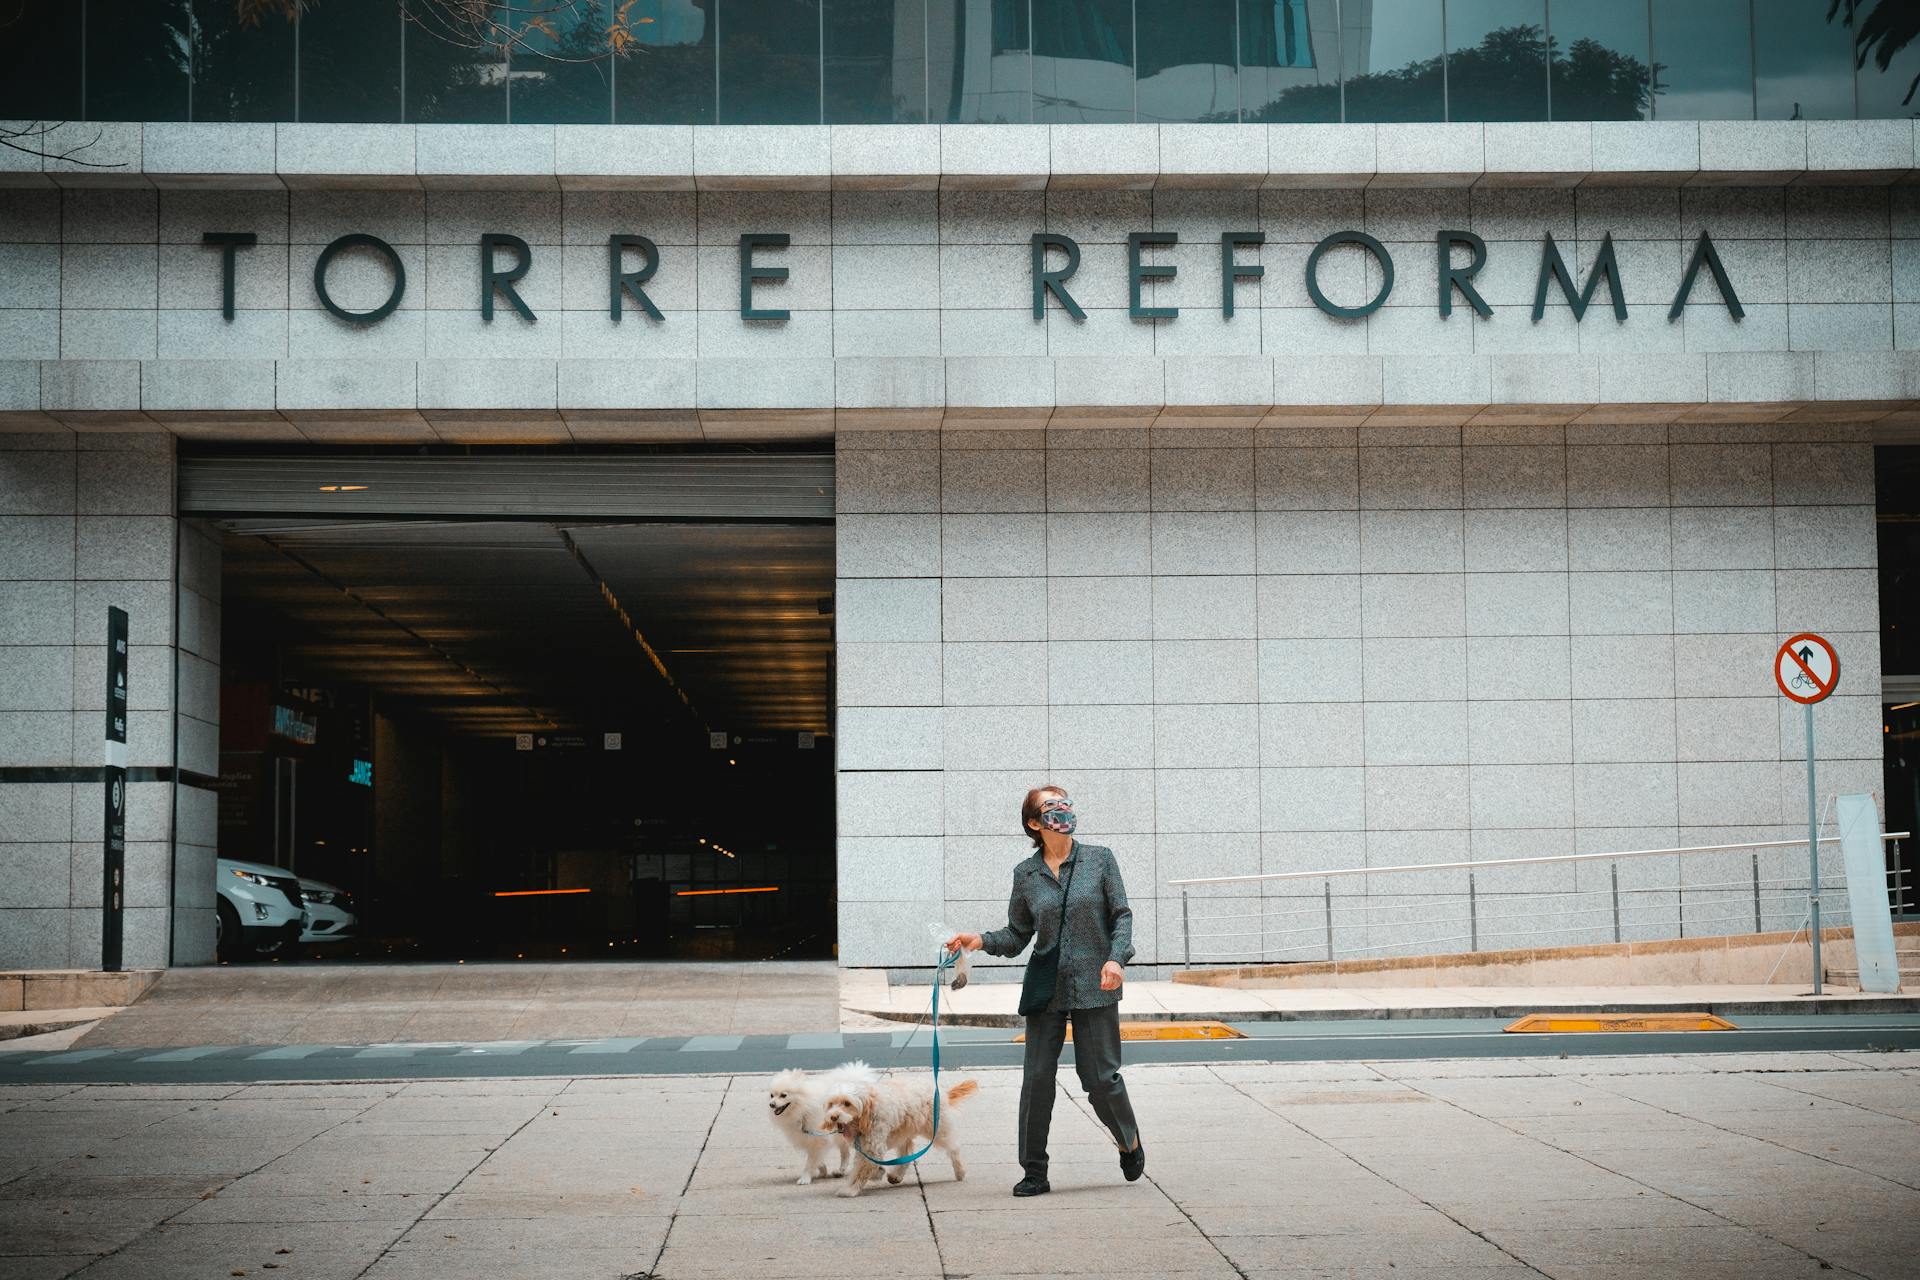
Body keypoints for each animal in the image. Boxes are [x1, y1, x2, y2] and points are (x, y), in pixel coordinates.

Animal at [821, 1066, 983, 1197]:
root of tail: (941, 1091)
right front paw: (878, 1172)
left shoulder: (873, 1147)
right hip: (903, 1132)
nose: (833, 1117)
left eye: (847, 1103)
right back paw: (896, 1175)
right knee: (907, 1154)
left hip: (937, 1130)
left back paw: (960, 1171)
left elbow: (860, 1170)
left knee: (953, 1148)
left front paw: (850, 1190)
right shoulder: (867, 1147)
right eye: (831, 1104)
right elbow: (869, 1165)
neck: (868, 1110)